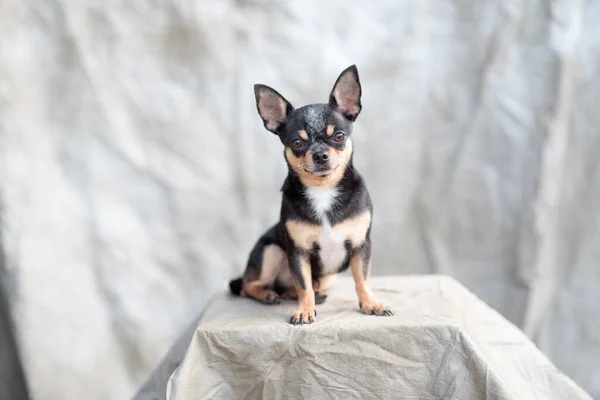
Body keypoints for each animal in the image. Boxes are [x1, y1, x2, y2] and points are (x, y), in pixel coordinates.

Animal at [227, 63, 392, 324]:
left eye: (339, 136)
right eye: (297, 142)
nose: (320, 154)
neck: (323, 190)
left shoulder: (360, 246)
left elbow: (362, 279)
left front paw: (371, 304)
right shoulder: (298, 253)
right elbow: (303, 283)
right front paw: (304, 310)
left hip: (326, 276)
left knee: (299, 287)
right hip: (270, 251)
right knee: (247, 286)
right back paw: (268, 294)